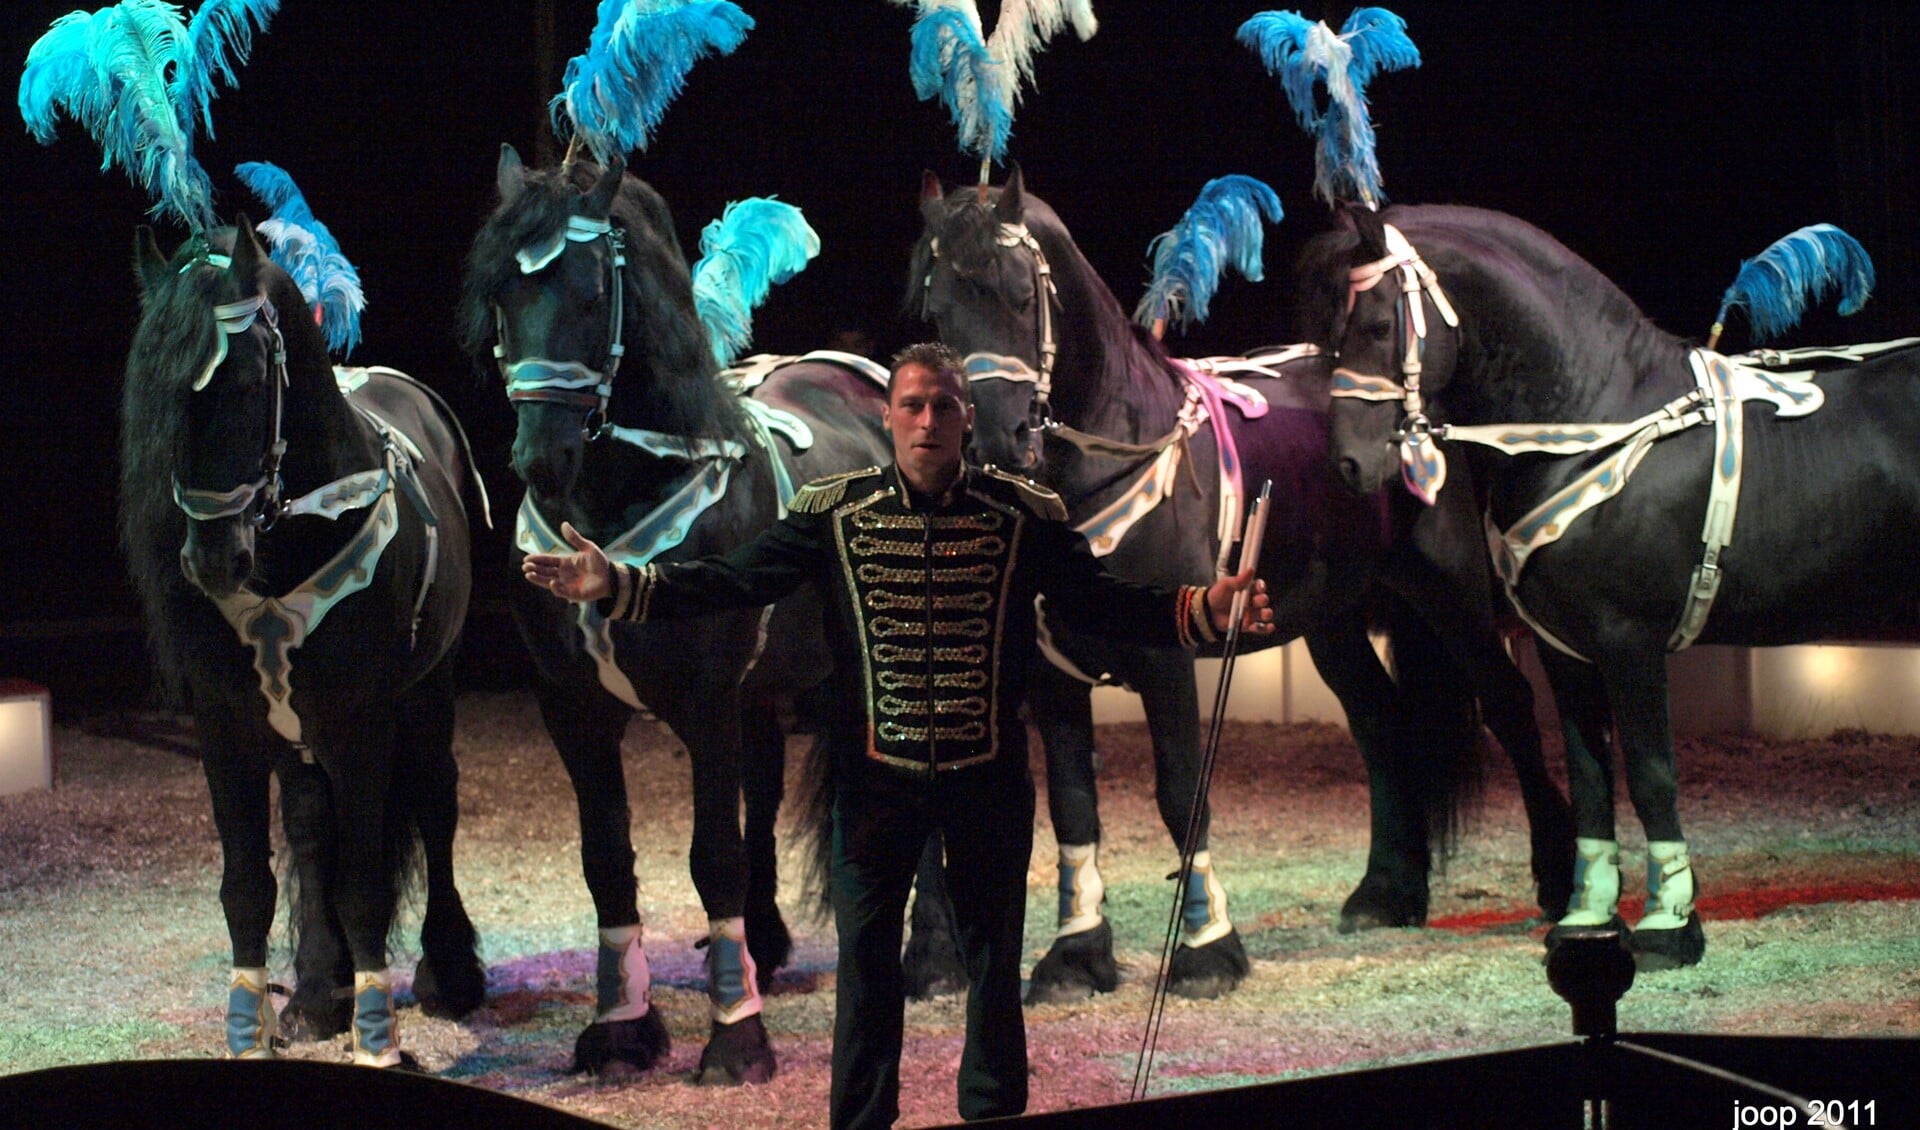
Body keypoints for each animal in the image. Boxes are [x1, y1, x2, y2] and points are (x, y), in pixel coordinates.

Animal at [123, 217, 483, 1059]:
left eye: (250, 382)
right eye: (155, 397)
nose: (211, 559)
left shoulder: (361, 723)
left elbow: (364, 882)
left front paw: (377, 1037)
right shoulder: (227, 727)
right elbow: (251, 885)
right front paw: (254, 1027)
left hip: (429, 689)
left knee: (436, 799)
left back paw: (450, 973)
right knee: (314, 828)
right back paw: (321, 991)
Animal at [460, 147, 894, 1074]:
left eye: (593, 294)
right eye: (503, 295)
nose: (540, 459)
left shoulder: (705, 706)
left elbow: (713, 856)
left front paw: (737, 1035)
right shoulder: (575, 709)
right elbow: (607, 859)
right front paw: (622, 1023)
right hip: (764, 695)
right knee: (765, 793)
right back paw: (765, 944)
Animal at [913, 167, 1574, 997]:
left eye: (1017, 295)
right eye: (938, 312)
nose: (996, 443)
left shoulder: (1165, 661)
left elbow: (1179, 792)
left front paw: (1207, 949)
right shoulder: (1051, 671)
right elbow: (1072, 808)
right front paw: (1076, 954)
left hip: (1449, 591)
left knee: (1509, 704)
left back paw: (1558, 881)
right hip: (1331, 619)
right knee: (1379, 722)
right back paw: (1387, 890)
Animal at [1328, 200, 1920, 959]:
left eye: (1376, 325)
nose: (1348, 461)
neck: (1595, 424)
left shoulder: (1630, 643)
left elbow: (1650, 773)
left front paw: (1670, 926)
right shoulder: (1566, 651)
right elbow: (1590, 778)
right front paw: (1587, 916)